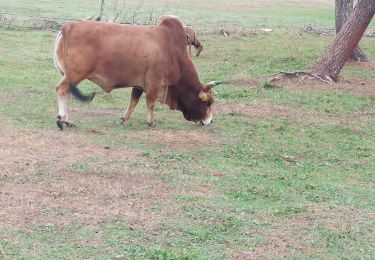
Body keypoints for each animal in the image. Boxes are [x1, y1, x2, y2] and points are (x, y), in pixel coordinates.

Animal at [54, 15, 222, 129]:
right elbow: (150, 103)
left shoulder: (139, 84)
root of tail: (68, 26)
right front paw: (151, 122)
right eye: (208, 103)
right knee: (61, 90)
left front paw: (124, 118)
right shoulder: (154, 82)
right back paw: (62, 119)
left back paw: (68, 120)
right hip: (74, 75)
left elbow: (133, 101)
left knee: (67, 93)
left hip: (68, 76)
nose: (210, 120)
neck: (172, 51)